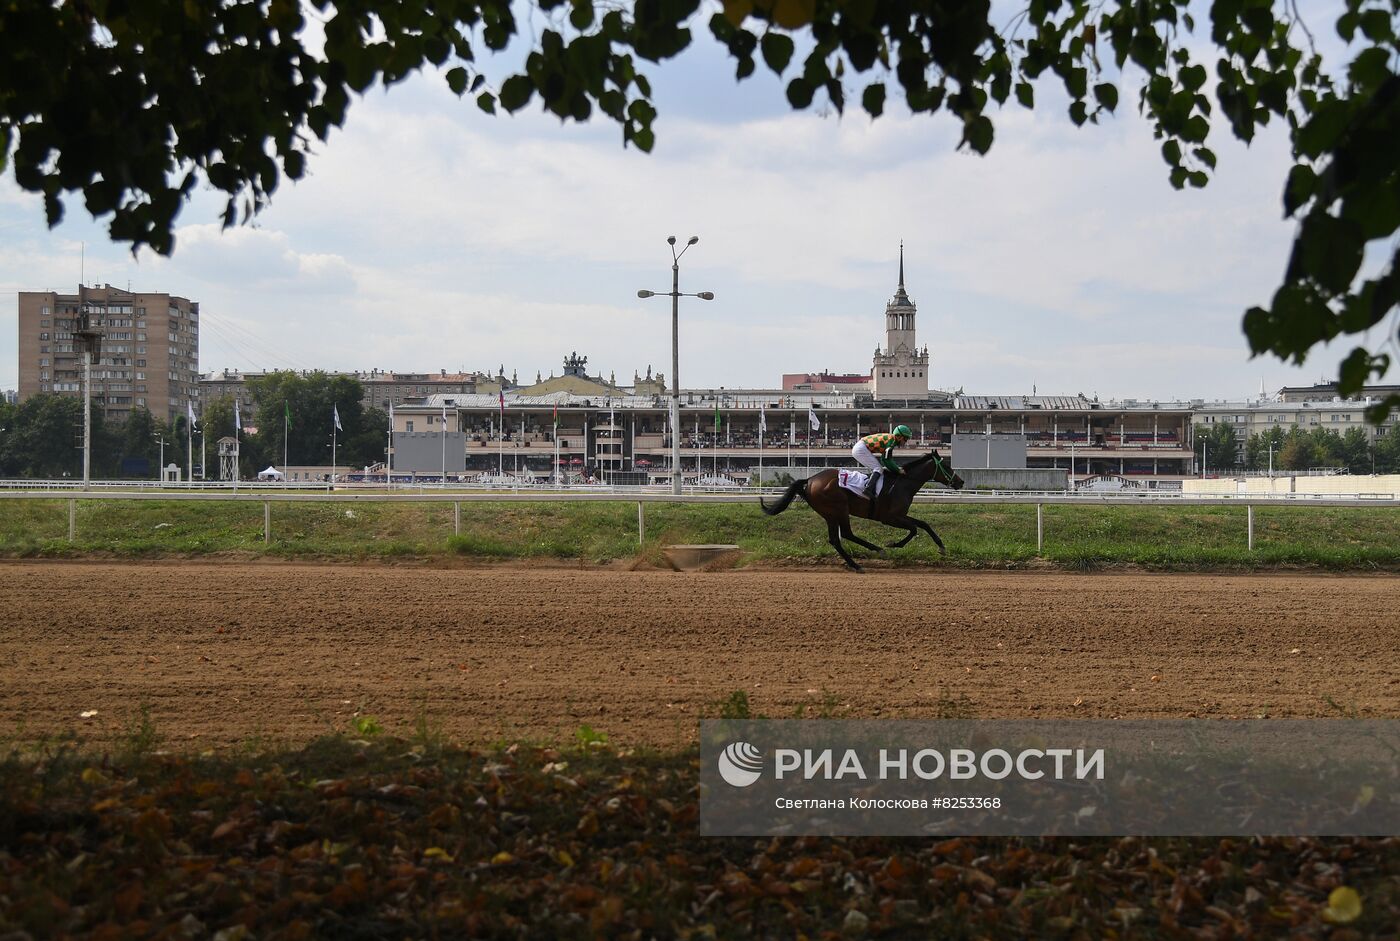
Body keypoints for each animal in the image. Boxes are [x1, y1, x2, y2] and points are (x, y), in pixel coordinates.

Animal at [761, 450, 968, 574]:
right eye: (947, 466)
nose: (961, 482)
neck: (903, 483)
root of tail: (810, 480)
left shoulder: (900, 515)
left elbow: (923, 524)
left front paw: (941, 547)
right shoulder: (889, 517)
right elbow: (914, 529)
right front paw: (893, 544)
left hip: (829, 514)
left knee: (836, 539)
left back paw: (857, 562)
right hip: (839, 509)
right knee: (845, 534)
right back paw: (871, 554)